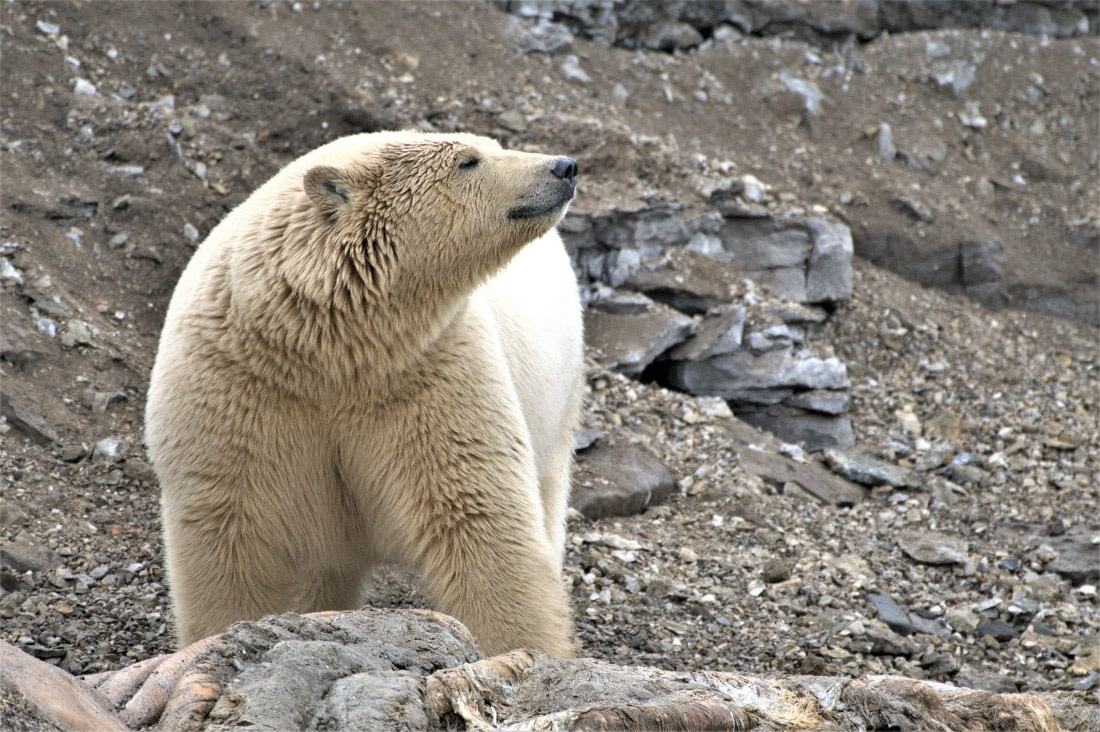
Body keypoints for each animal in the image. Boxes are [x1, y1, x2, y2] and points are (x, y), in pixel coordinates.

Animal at [145, 130, 584, 657]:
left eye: (492, 146)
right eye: (469, 161)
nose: (564, 166)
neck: (328, 345)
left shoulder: (429, 373)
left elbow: (475, 514)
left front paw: (524, 650)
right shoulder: (238, 389)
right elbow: (231, 537)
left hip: (558, 400)